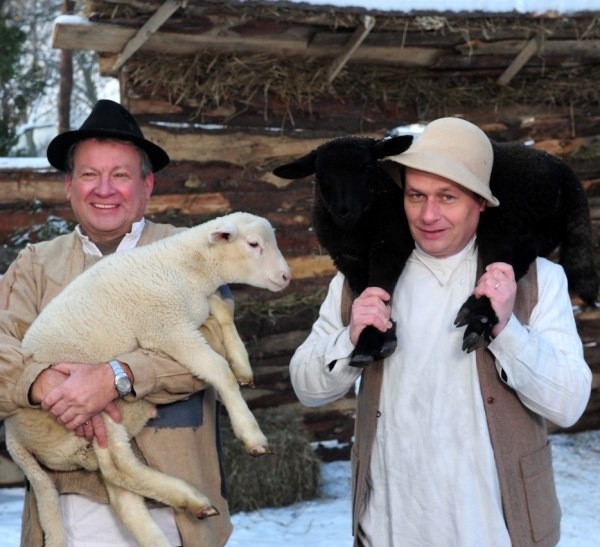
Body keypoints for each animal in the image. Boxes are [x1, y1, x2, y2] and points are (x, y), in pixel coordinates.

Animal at [2, 213, 292, 547]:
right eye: (254, 244)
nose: (286, 276)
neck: (183, 267)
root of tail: (13, 435)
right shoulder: (167, 328)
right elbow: (220, 370)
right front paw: (252, 435)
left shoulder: (190, 315)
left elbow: (221, 311)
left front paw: (243, 365)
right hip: (95, 407)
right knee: (120, 468)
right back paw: (192, 498)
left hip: (91, 434)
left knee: (119, 490)